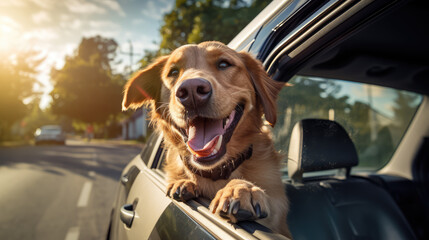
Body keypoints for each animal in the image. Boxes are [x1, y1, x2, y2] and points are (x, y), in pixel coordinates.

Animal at [122, 41, 292, 238]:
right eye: (173, 72)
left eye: (224, 64)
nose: (191, 91)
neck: (214, 172)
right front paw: (183, 182)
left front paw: (240, 189)